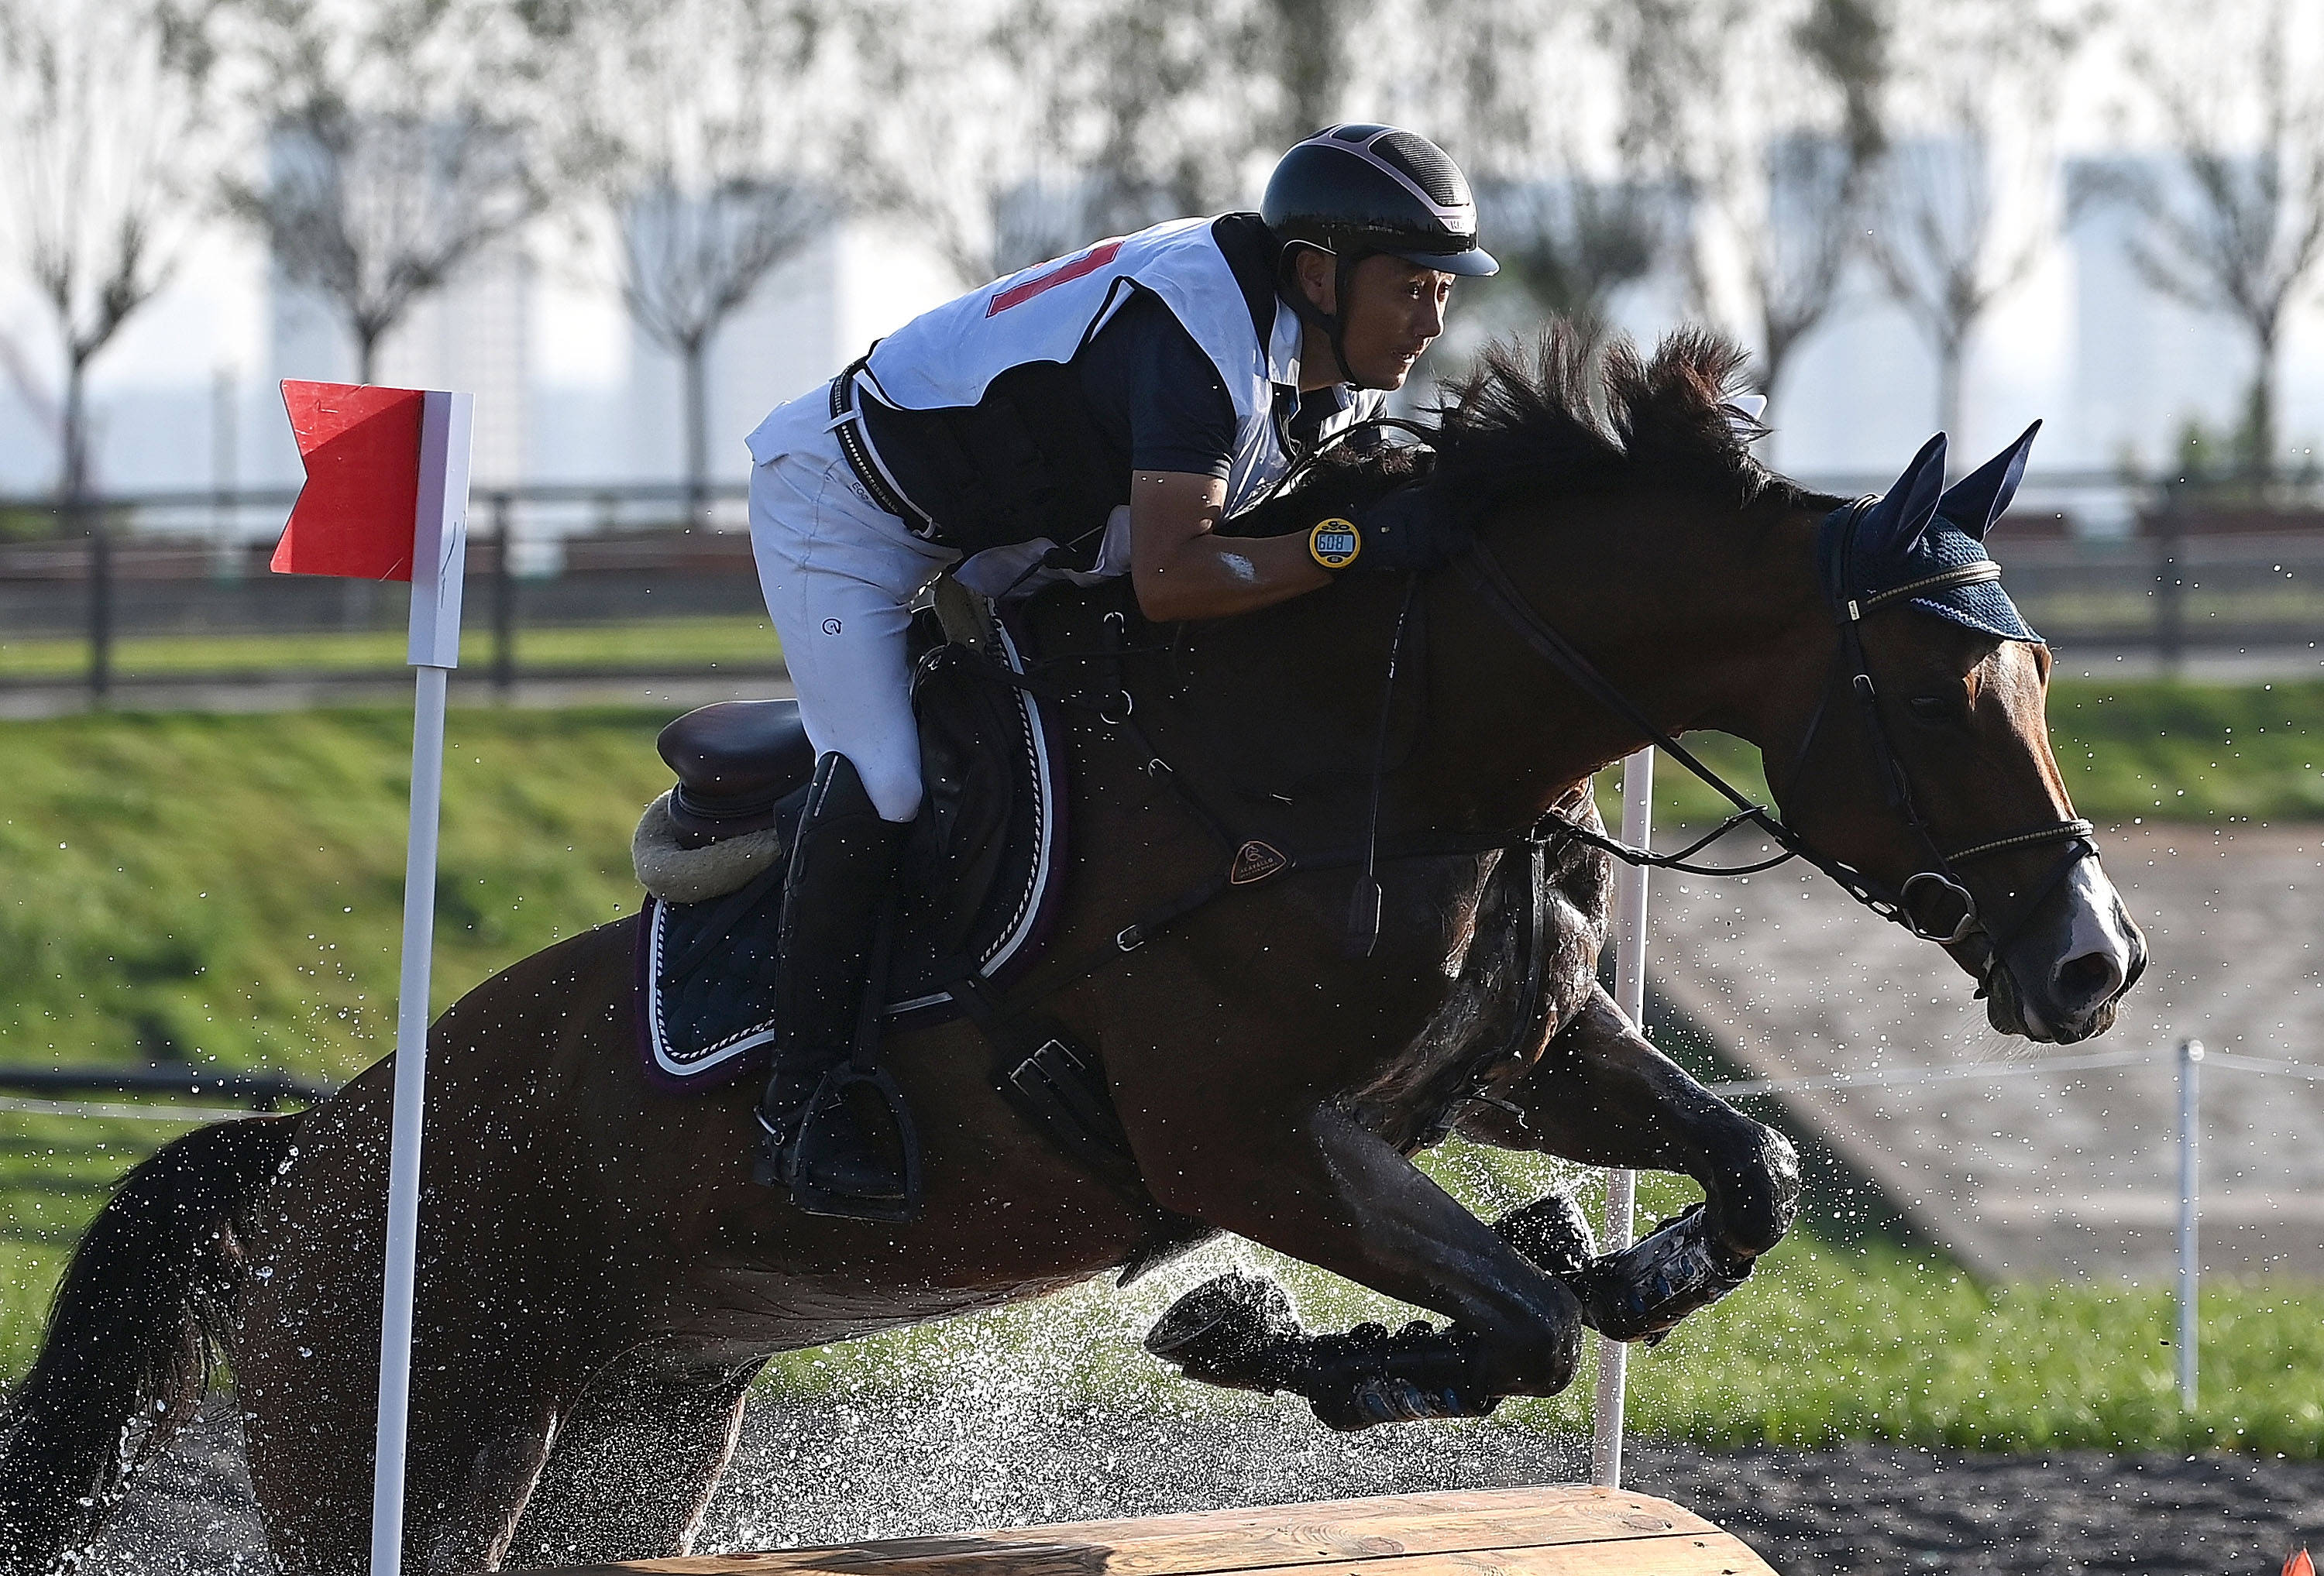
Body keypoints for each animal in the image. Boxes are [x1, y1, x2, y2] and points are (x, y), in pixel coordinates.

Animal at [0, 328, 2138, 1571]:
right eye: (1939, 697)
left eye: (2038, 672)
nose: (2090, 965)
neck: (1373, 742)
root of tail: (307, 1152)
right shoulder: (1241, 1142)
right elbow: (1514, 1322)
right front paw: (1278, 1340)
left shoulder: (1504, 1068)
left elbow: (1739, 1172)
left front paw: (1613, 1261)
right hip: (411, 1423)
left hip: (634, 1427)